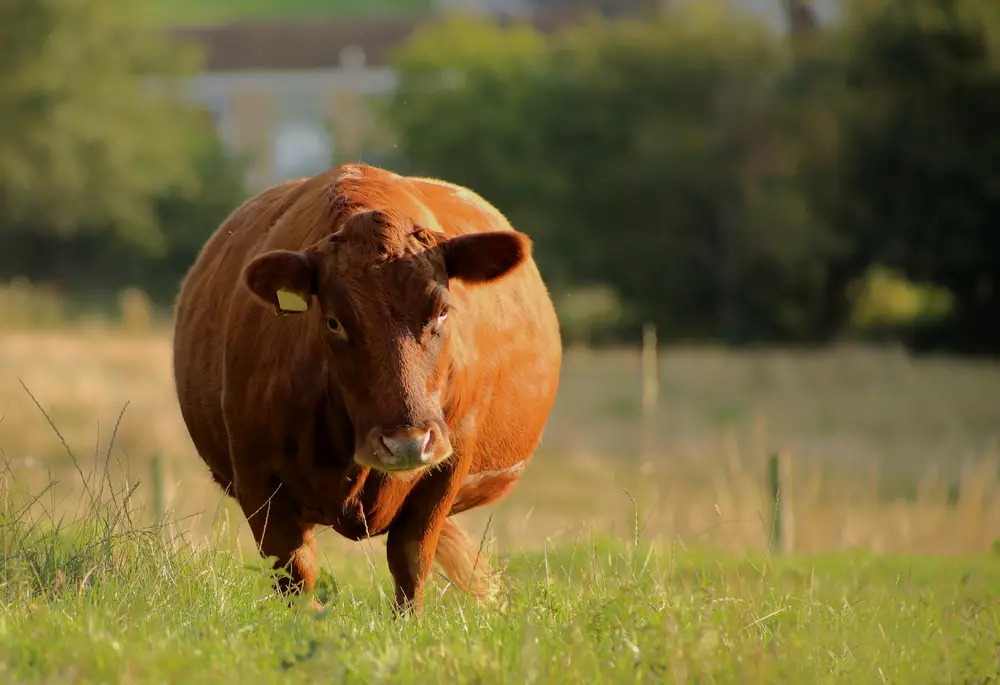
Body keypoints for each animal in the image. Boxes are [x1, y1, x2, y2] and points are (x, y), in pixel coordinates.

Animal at [173, 162, 564, 616]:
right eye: (334, 322)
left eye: (442, 311)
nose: (407, 442)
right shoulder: (257, 475)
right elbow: (295, 572)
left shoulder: (448, 464)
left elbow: (411, 559)